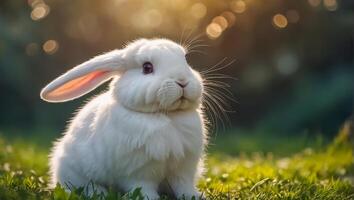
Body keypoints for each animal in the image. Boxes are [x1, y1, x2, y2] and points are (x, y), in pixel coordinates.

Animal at [40, 38, 207, 199]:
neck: (167, 115)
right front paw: (150, 198)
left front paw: (195, 196)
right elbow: (143, 187)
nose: (182, 81)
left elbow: (183, 186)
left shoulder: (184, 168)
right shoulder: (138, 171)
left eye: (185, 59)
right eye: (147, 67)